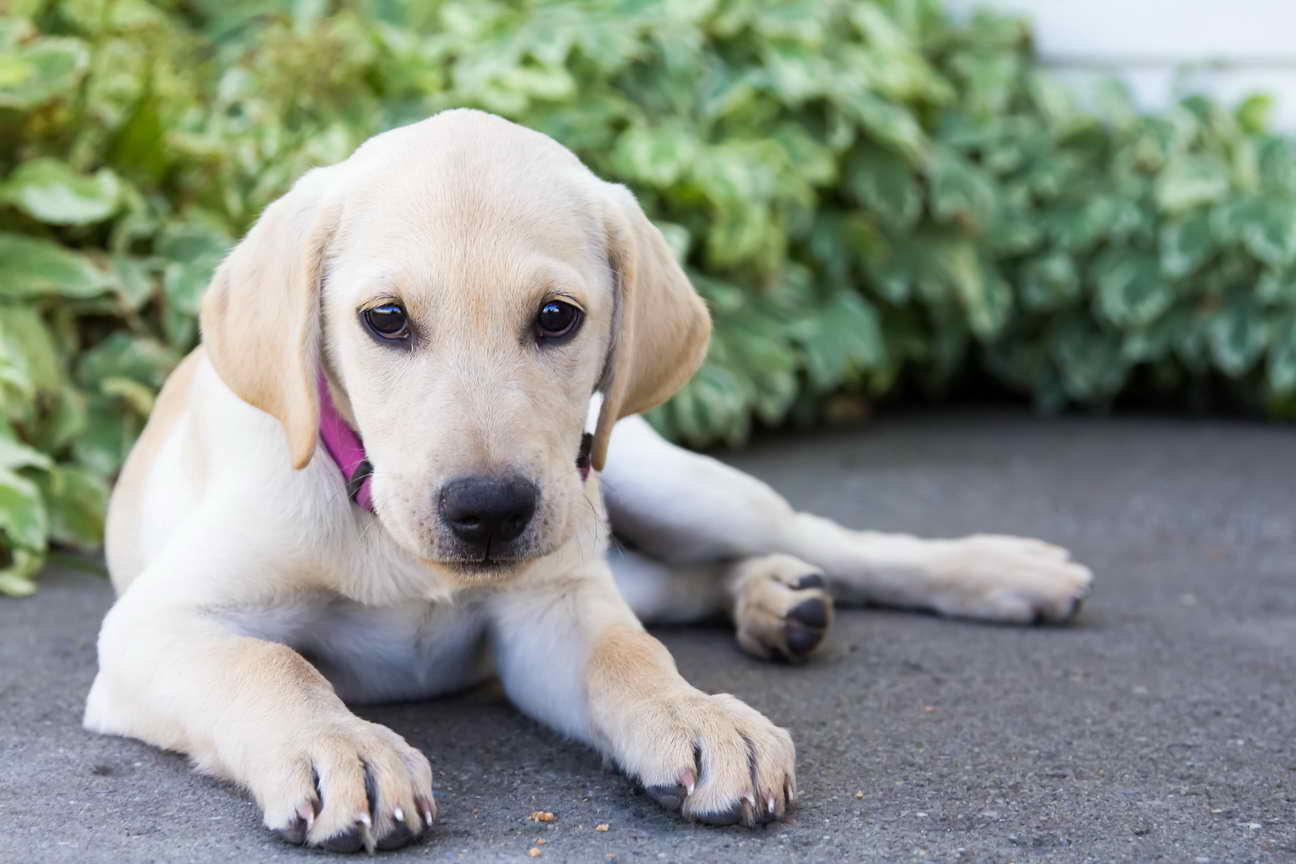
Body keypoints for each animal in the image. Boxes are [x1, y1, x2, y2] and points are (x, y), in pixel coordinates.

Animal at [86, 106, 1088, 849]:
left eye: (557, 317)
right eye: (385, 319)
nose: (489, 512)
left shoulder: (550, 610)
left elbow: (626, 654)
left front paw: (693, 714)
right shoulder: (154, 626)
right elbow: (271, 665)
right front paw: (339, 747)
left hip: (652, 487)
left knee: (812, 541)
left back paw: (997, 573)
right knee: (671, 584)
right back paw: (775, 599)